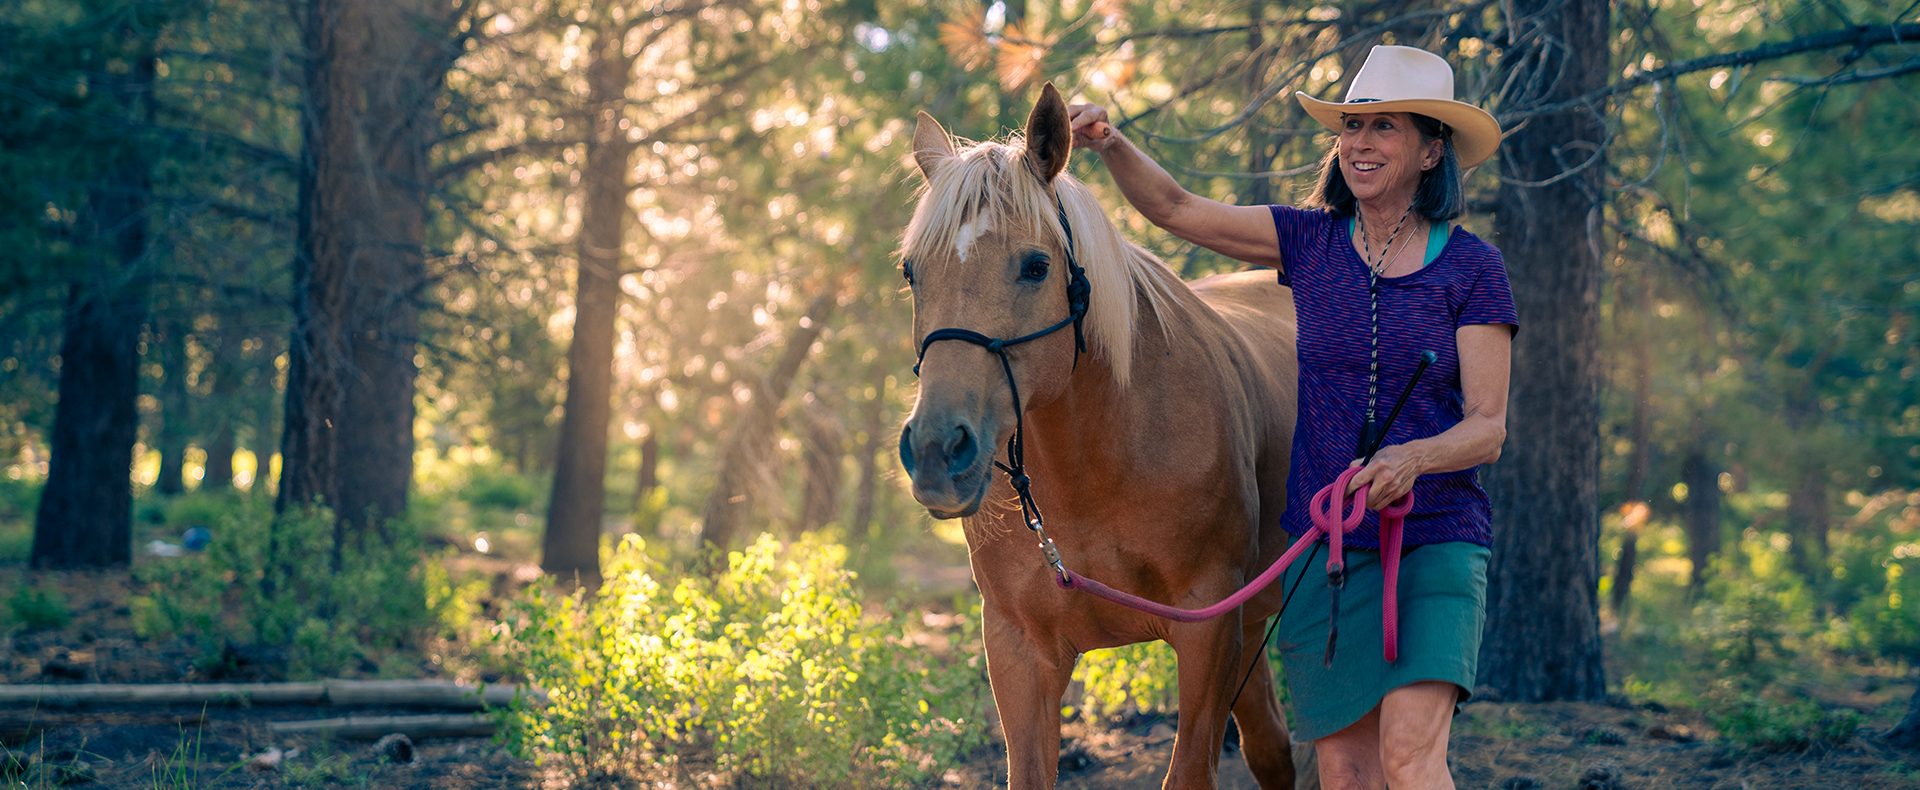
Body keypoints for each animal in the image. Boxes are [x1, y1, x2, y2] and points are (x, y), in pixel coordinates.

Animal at [897, 83, 1303, 790]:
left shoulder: (1207, 630)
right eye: (911, 272)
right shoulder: (1018, 650)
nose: (936, 452)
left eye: (1035, 267)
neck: (1093, 467)